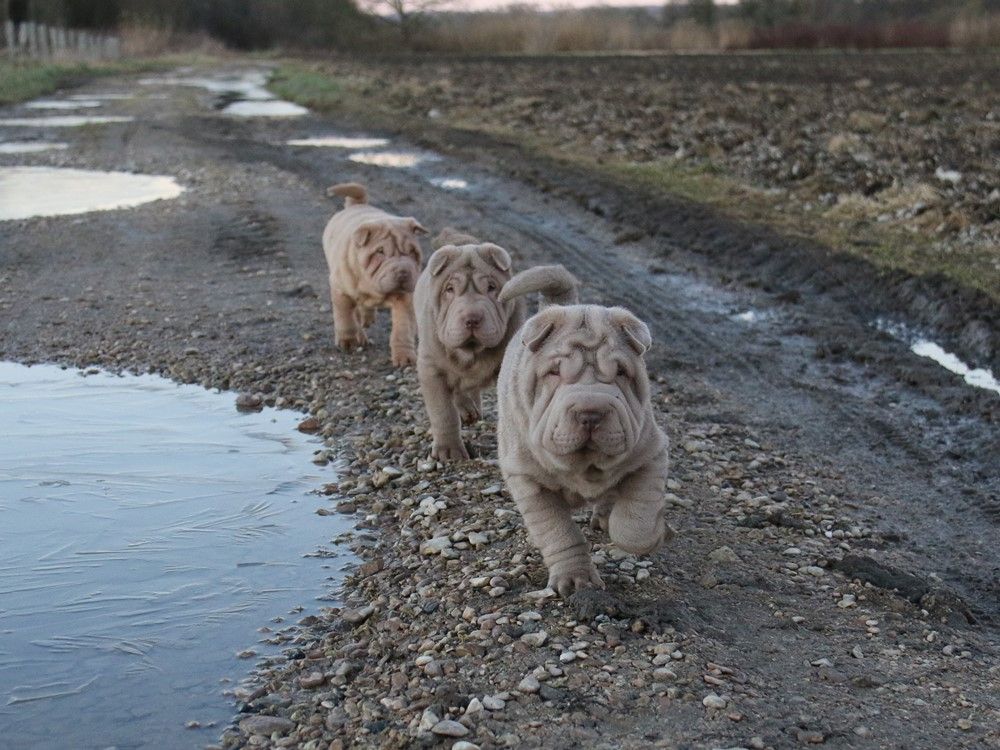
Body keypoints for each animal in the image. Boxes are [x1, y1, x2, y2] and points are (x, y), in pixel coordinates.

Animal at [324, 184, 426, 368]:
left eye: (413, 252)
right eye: (380, 252)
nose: (403, 270)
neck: (372, 287)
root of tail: (357, 204)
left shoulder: (404, 298)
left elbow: (403, 327)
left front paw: (404, 356)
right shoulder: (340, 290)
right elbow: (345, 316)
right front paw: (348, 341)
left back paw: (368, 318)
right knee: (355, 313)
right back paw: (360, 335)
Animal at [414, 228, 580, 464]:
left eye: (491, 287)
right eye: (449, 289)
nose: (472, 318)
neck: (472, 352)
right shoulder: (431, 370)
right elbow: (442, 412)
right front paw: (449, 451)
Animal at [498, 302, 672, 596]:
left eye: (621, 372)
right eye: (555, 372)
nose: (591, 413)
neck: (586, 464)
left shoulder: (651, 454)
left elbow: (635, 524)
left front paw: (660, 532)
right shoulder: (526, 479)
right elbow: (558, 532)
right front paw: (576, 580)